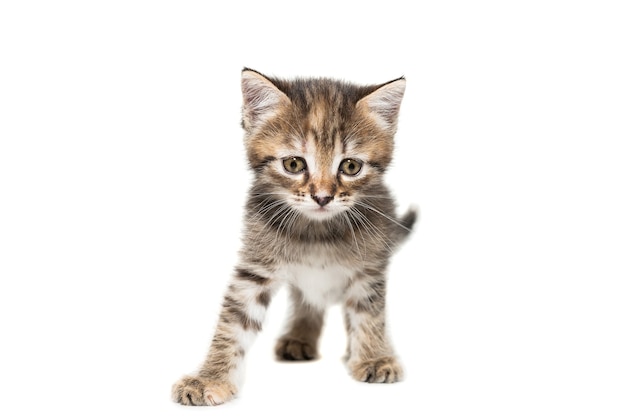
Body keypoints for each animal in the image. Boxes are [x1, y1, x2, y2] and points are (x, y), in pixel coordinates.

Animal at [171, 70, 414, 404]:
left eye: (351, 166)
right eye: (294, 164)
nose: (323, 197)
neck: (317, 233)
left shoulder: (369, 267)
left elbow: (369, 313)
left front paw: (374, 357)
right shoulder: (255, 266)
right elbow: (232, 322)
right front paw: (210, 377)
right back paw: (299, 337)